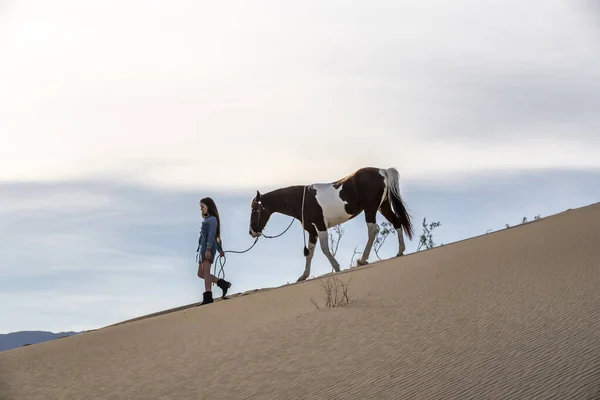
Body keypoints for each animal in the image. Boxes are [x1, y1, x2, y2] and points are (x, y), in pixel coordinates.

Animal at [248, 166, 412, 282]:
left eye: (255, 210)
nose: (252, 232)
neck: (302, 200)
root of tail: (382, 171)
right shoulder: (312, 231)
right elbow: (309, 253)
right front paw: (304, 276)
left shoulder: (320, 227)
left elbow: (325, 249)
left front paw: (337, 267)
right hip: (382, 206)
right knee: (397, 223)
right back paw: (400, 251)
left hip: (370, 209)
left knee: (373, 231)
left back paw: (362, 260)